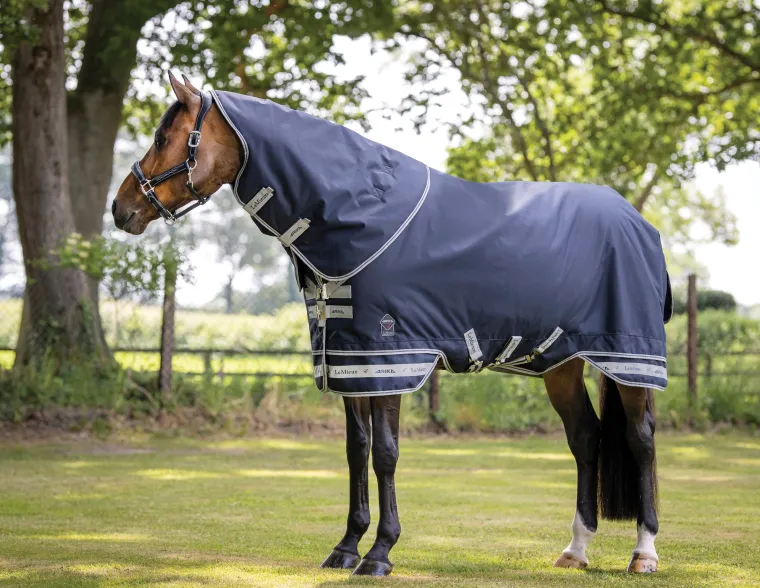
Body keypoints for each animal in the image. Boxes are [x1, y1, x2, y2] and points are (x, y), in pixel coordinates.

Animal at [113, 73, 668, 576]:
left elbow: (385, 454)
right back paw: (575, 550)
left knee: (640, 439)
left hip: (630, 361)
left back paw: (643, 554)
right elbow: (356, 451)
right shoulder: (351, 362)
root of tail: (639, 223)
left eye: (163, 137)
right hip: (563, 363)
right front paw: (345, 548)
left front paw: (380, 553)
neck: (360, 214)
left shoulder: (391, 360)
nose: (121, 209)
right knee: (586, 438)